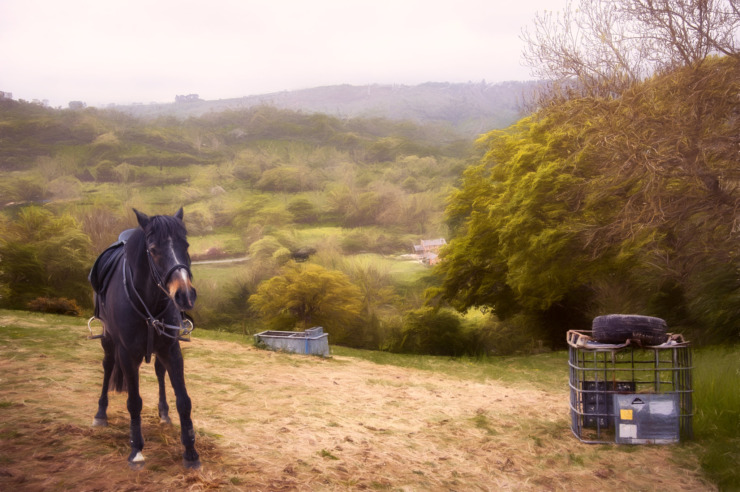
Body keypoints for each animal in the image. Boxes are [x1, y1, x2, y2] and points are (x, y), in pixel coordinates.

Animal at [88, 208, 199, 468]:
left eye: (186, 244)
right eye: (153, 249)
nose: (185, 295)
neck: (147, 299)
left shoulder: (171, 349)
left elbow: (184, 400)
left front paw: (190, 452)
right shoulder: (127, 354)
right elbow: (134, 402)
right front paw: (136, 449)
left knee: (159, 372)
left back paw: (164, 413)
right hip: (108, 342)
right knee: (107, 367)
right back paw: (100, 414)